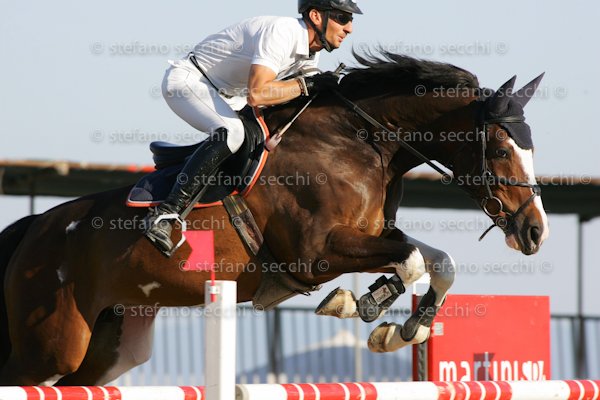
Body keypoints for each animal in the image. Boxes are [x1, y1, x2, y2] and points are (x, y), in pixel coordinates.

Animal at [0, 51, 549, 385]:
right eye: (502, 149)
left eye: (529, 148)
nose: (535, 232)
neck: (358, 142)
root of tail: (36, 228)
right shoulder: (314, 254)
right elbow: (412, 260)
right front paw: (362, 305)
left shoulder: (370, 237)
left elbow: (437, 261)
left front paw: (402, 327)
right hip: (52, 345)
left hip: (112, 344)